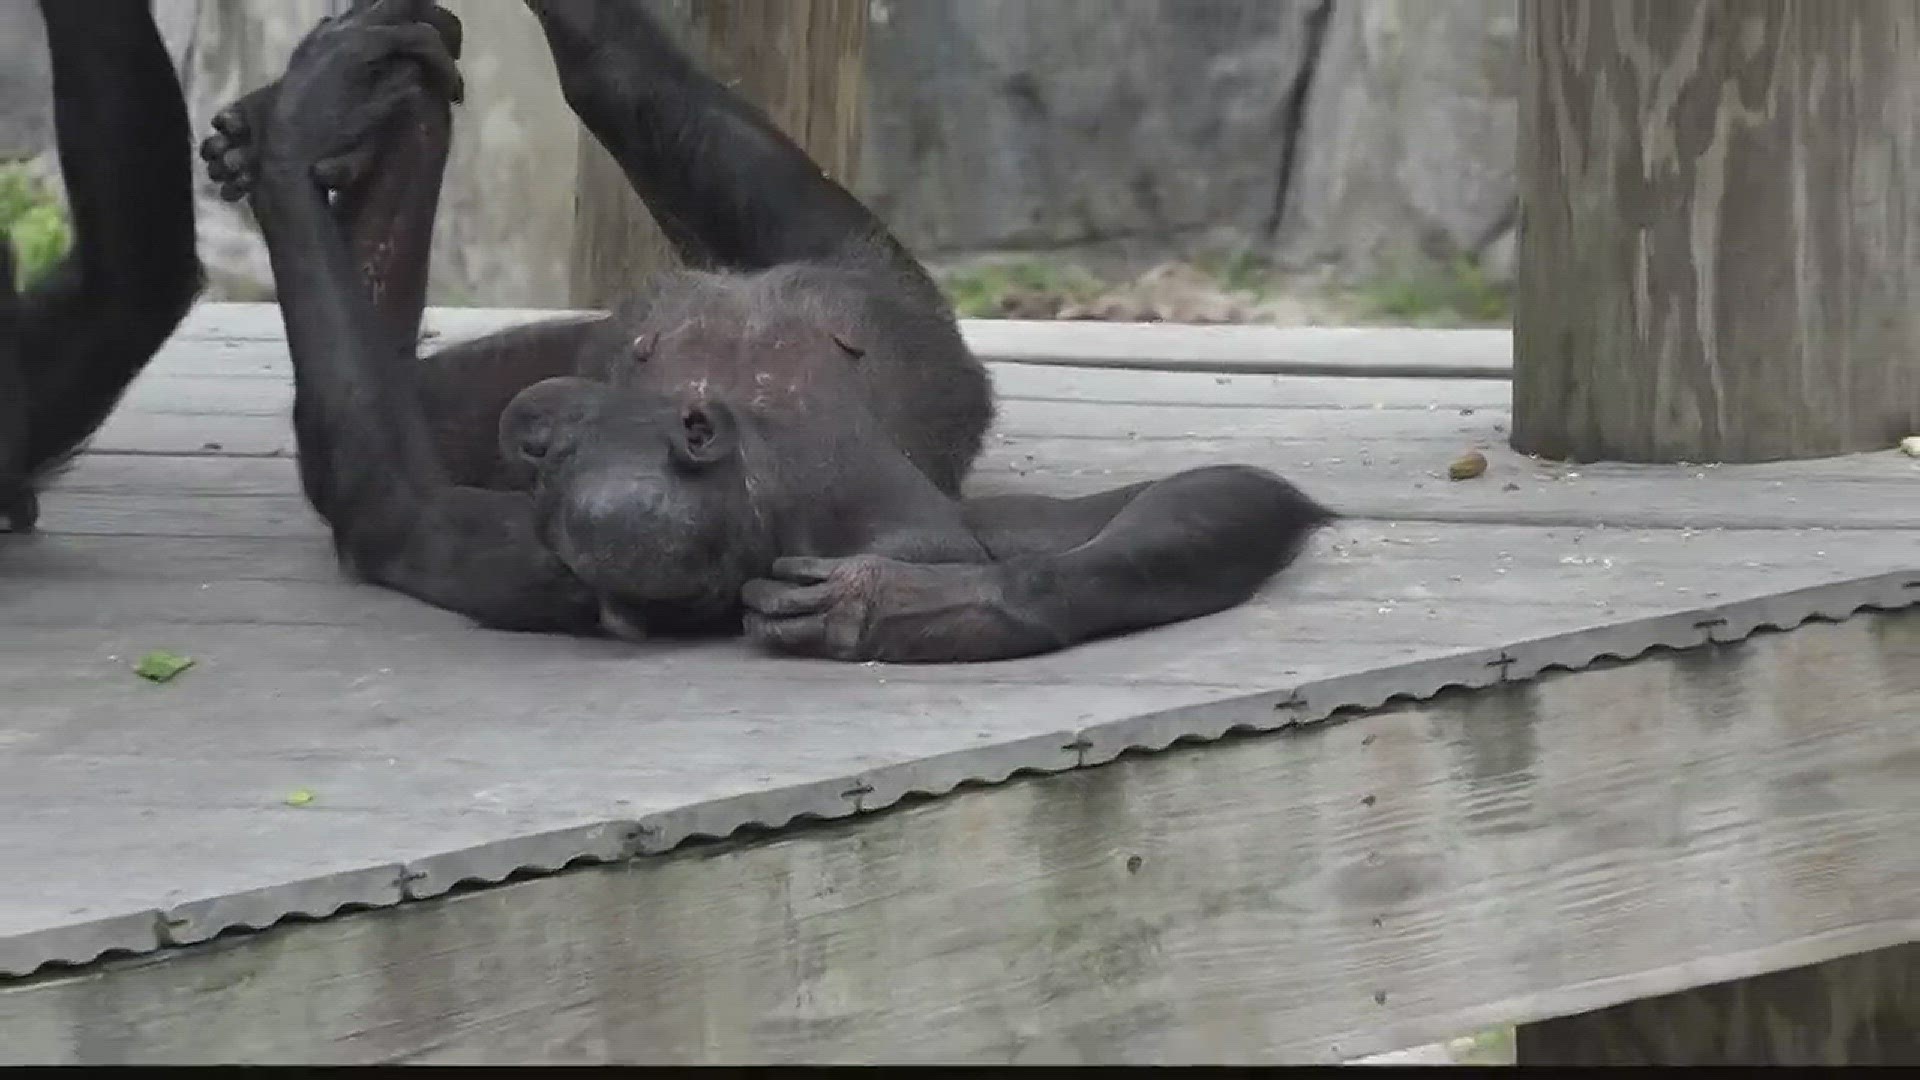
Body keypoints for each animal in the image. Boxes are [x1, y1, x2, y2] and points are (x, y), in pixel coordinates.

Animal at [198, 0, 1336, 661]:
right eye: (556, 451)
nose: (538, 429)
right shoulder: (514, 551)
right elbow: (389, 504)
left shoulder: (891, 512)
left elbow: (1201, 500)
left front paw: (907, 610)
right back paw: (361, 111)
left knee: (613, 79)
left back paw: (367, 101)